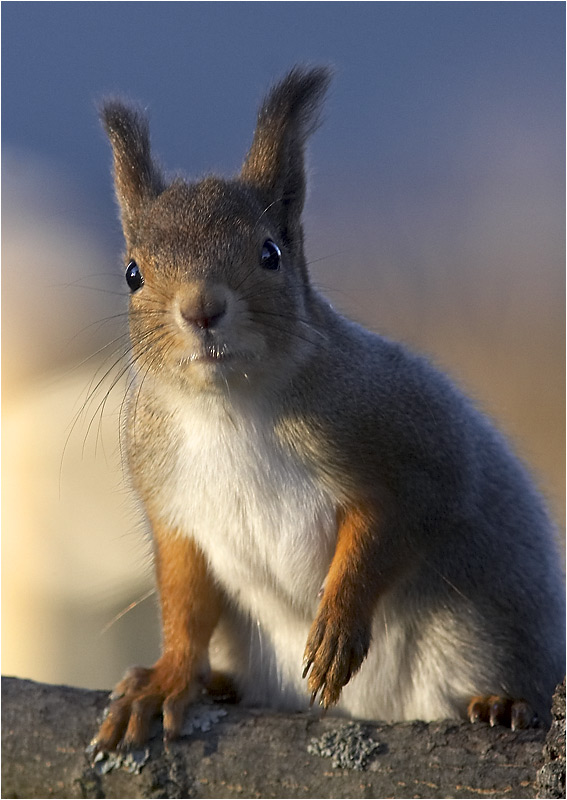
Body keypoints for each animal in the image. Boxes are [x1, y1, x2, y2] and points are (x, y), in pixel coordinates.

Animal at [92, 67, 564, 752]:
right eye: (132, 273)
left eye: (270, 254)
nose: (202, 308)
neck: (230, 408)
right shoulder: (170, 505)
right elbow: (185, 601)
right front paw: (167, 679)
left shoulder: (410, 445)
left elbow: (390, 528)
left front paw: (338, 626)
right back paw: (222, 685)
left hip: (485, 633)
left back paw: (502, 703)